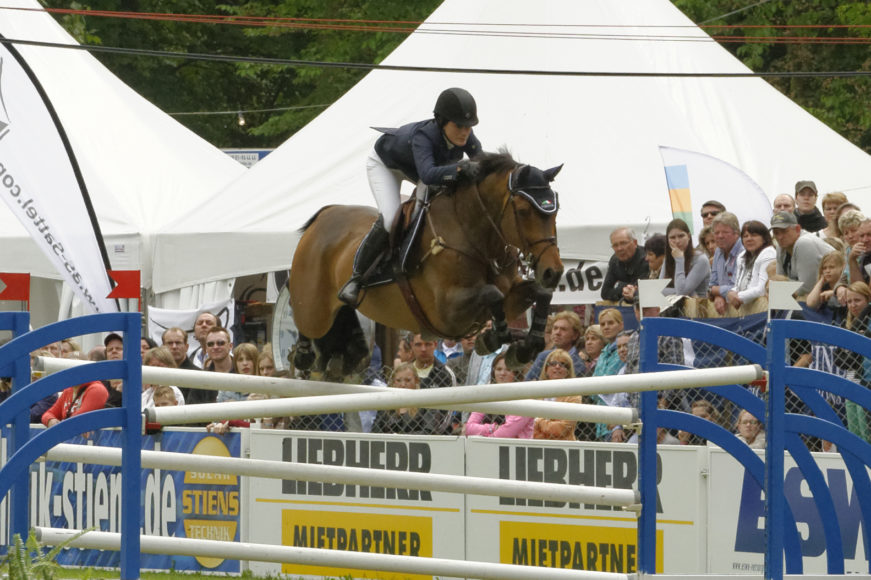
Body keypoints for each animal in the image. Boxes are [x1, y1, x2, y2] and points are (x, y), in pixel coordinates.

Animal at [290, 150, 564, 376]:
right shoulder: (447, 313)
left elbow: (540, 293)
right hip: (315, 310)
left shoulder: (510, 296)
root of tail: (324, 215)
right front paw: (493, 339)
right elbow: (492, 293)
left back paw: (342, 359)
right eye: (523, 211)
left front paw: (527, 346)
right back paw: (303, 355)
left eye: (556, 209)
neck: (476, 237)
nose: (553, 272)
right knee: (303, 318)